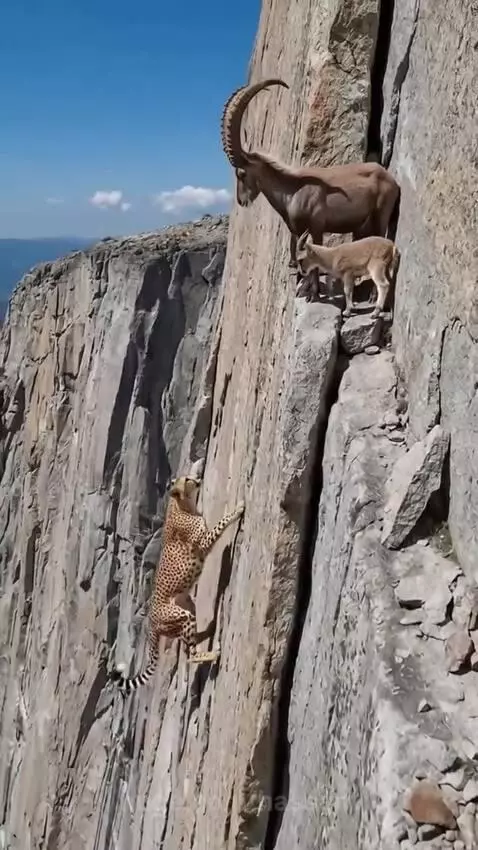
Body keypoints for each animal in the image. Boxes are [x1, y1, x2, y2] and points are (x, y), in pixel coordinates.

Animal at [111, 475, 245, 694]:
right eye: (188, 479)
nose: (198, 480)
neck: (182, 504)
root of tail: (150, 625)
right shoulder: (201, 544)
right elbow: (221, 524)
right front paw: (238, 510)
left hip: (188, 606)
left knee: (189, 643)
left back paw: (207, 632)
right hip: (181, 616)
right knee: (190, 655)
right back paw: (212, 653)